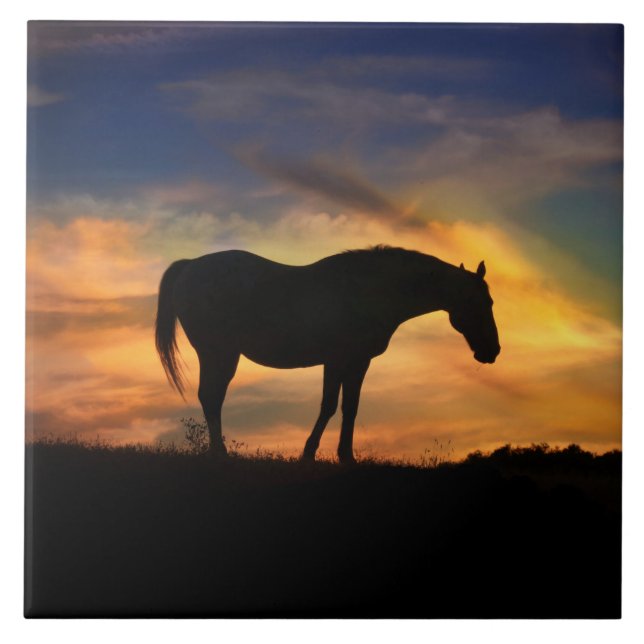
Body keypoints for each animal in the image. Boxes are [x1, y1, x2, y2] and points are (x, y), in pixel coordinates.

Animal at [155, 246, 500, 463]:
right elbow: (330, 407)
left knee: (210, 397)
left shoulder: (357, 362)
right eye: (482, 303)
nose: (493, 351)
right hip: (218, 352)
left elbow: (350, 408)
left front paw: (346, 456)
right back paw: (220, 454)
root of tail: (190, 265)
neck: (371, 290)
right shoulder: (339, 360)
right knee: (211, 397)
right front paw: (310, 453)